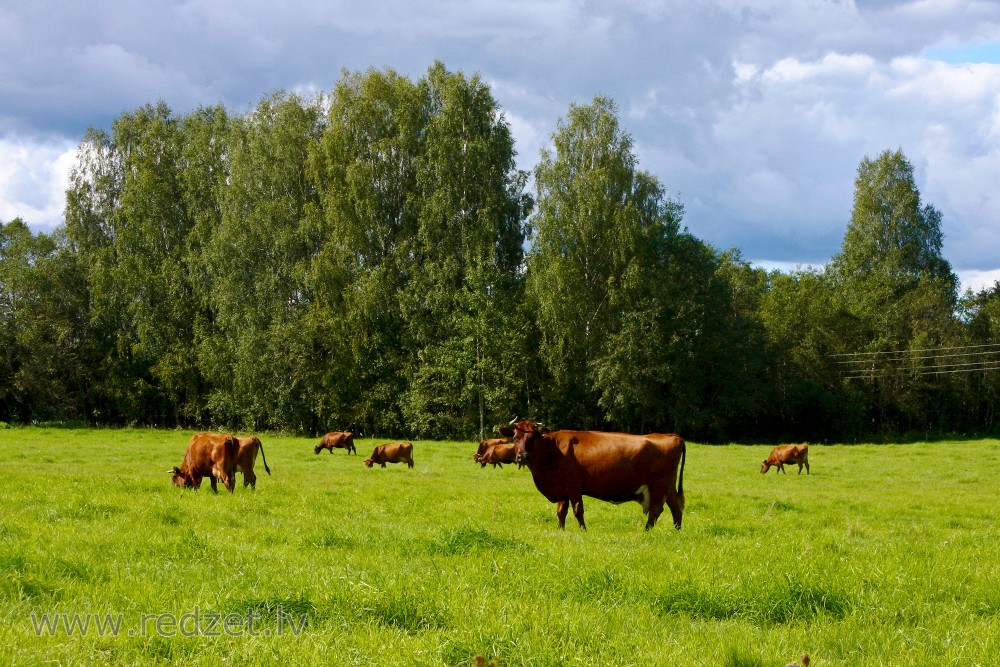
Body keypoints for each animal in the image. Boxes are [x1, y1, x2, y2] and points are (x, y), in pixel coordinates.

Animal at [500, 422, 688, 532]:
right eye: (515, 437)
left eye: (533, 437)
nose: (522, 457)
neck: (553, 449)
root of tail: (672, 435)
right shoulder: (562, 489)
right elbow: (561, 512)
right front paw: (560, 530)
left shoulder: (574, 486)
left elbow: (578, 510)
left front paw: (583, 530)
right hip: (669, 486)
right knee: (676, 508)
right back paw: (677, 531)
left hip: (658, 484)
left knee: (656, 510)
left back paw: (647, 532)